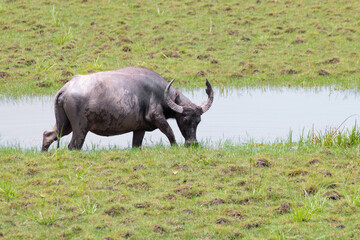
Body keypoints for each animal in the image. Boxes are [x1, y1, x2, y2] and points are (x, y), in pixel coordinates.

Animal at [41, 66, 214, 151]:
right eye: (184, 120)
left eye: (198, 121)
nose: (192, 143)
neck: (160, 93)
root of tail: (66, 87)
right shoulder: (156, 117)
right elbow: (170, 133)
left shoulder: (139, 129)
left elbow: (136, 144)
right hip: (80, 129)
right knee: (73, 146)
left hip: (64, 124)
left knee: (49, 134)